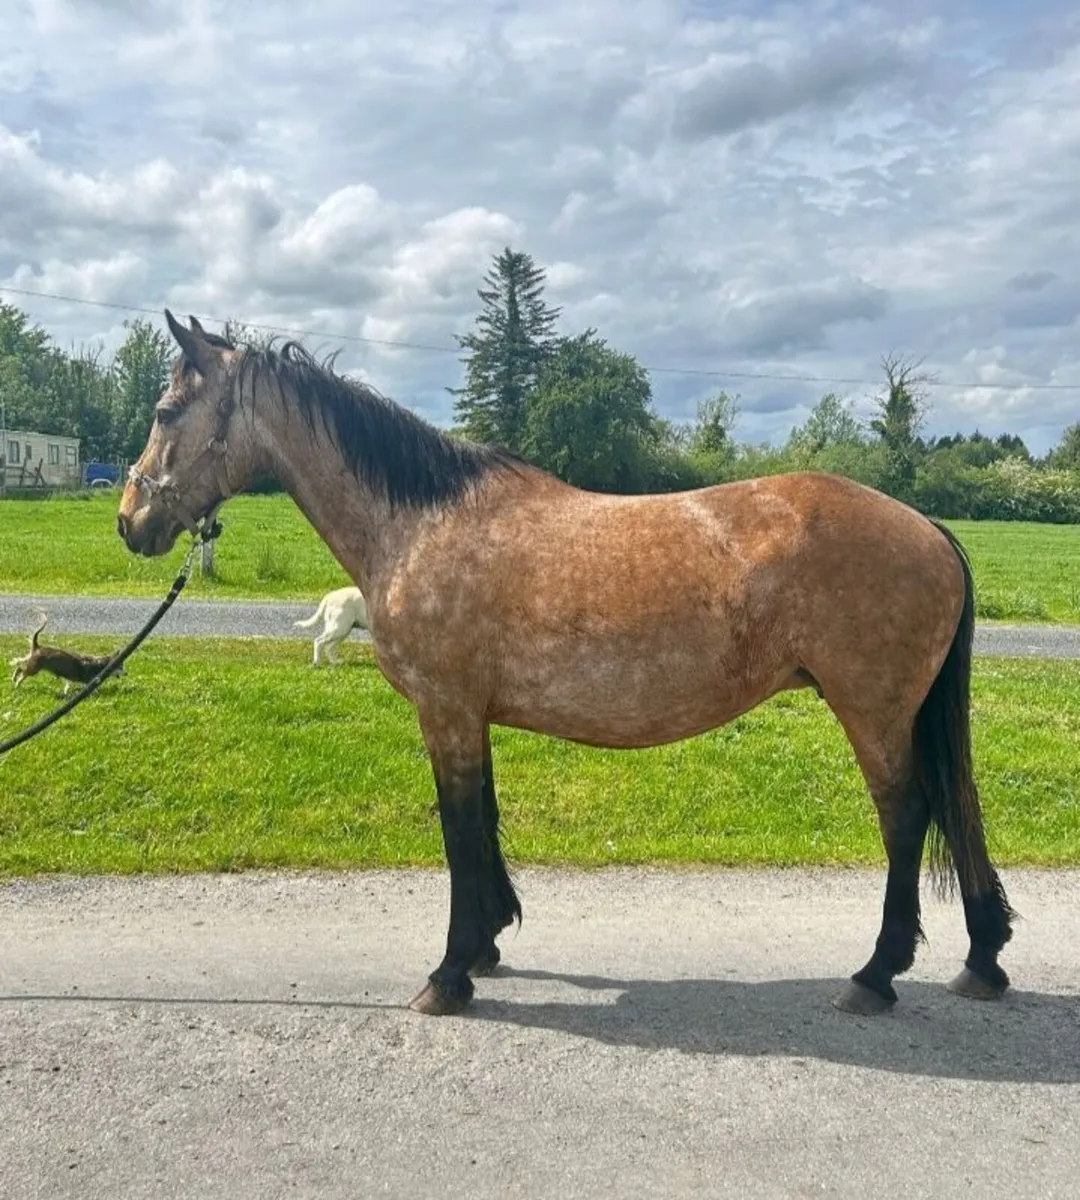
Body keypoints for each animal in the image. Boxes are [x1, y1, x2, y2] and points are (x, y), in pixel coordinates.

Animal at [116, 310, 1015, 1018]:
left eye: (166, 409)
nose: (130, 520)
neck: (420, 524)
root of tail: (930, 529)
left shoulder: (445, 711)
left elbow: (459, 830)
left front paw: (450, 973)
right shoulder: (471, 716)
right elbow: (483, 822)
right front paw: (486, 945)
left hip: (872, 710)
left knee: (908, 817)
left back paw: (877, 974)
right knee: (957, 809)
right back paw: (983, 957)